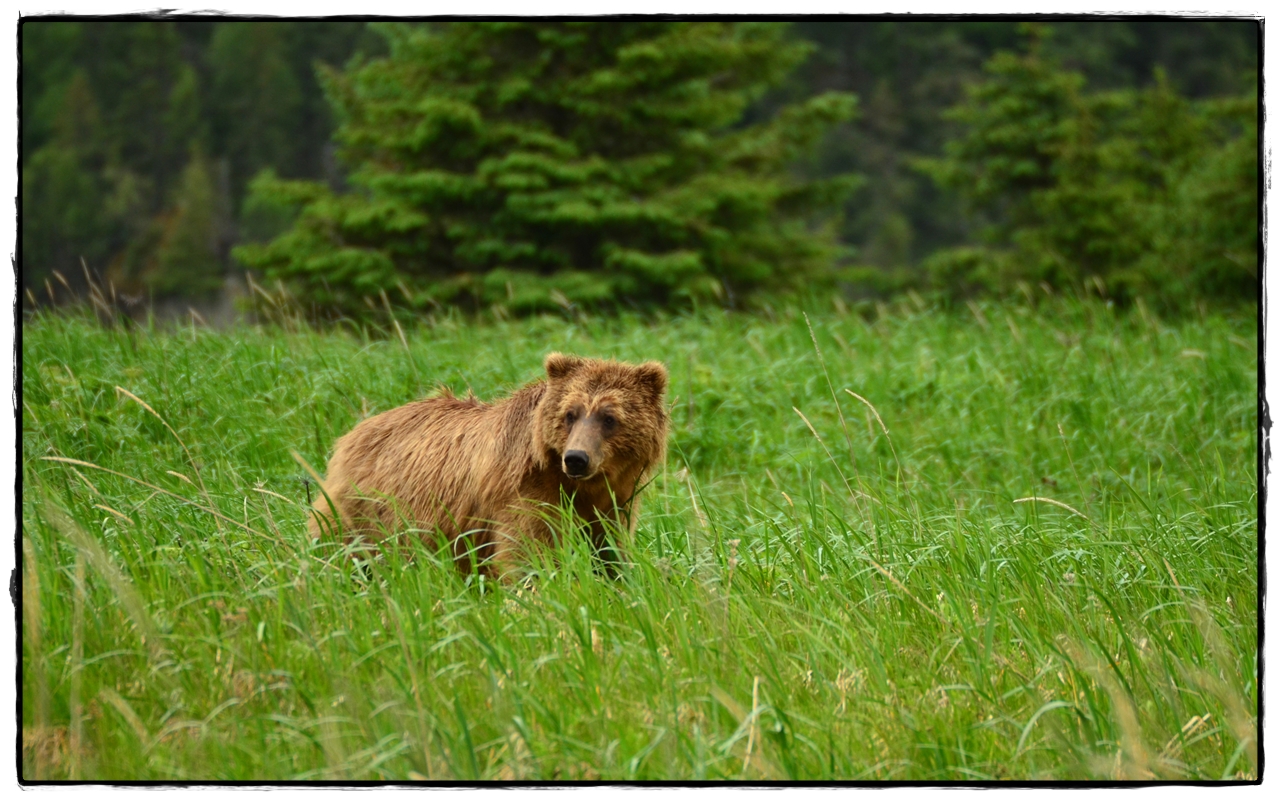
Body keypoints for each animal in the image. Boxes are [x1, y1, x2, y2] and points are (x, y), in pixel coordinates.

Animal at [308, 353, 670, 573]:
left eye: (609, 417)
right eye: (570, 413)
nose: (576, 459)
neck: (576, 485)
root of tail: (349, 436)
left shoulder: (615, 501)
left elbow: (609, 551)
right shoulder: (524, 493)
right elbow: (527, 554)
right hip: (365, 511)